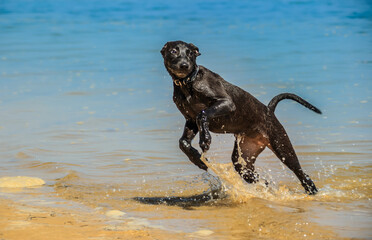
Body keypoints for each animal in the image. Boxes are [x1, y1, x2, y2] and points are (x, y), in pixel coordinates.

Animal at [161, 40, 322, 195]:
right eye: (173, 51)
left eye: (190, 53)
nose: (184, 65)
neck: (188, 83)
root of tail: (269, 110)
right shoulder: (190, 120)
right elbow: (183, 142)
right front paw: (196, 158)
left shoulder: (226, 103)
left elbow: (203, 114)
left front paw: (205, 139)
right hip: (243, 158)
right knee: (260, 180)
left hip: (282, 147)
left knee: (302, 175)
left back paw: (312, 192)